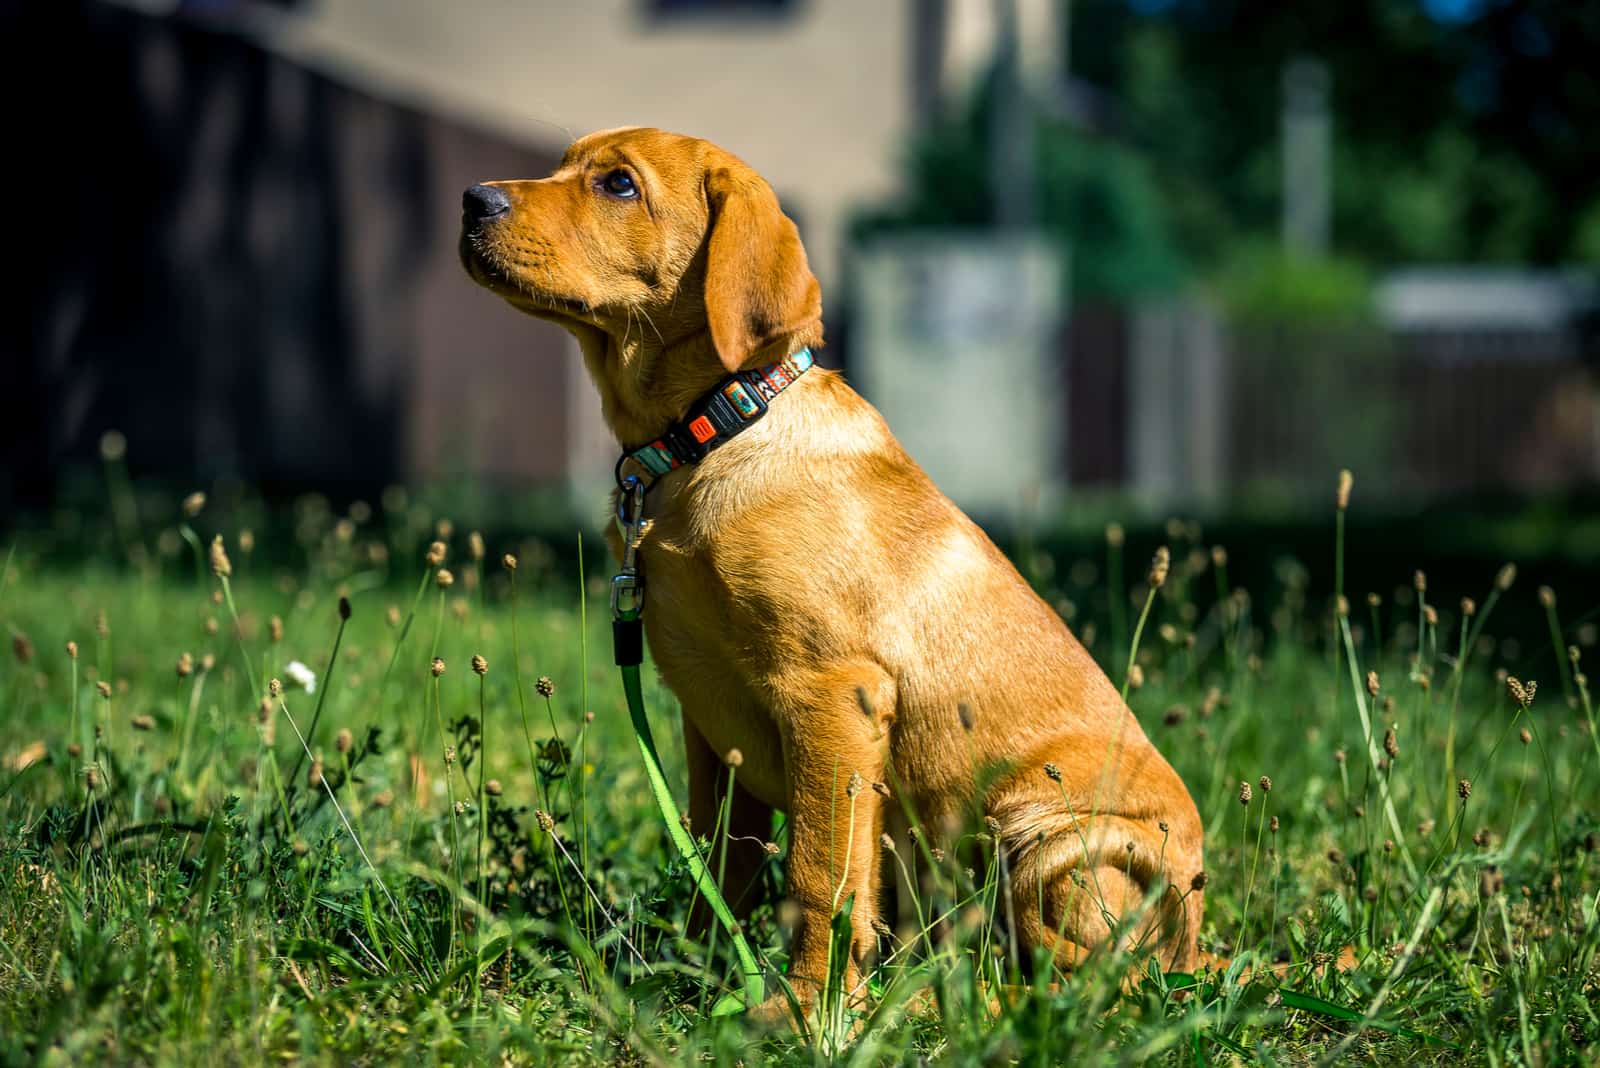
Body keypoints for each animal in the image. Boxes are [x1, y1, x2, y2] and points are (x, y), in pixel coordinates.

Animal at [460, 125, 1203, 1016]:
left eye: (617, 185)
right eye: (565, 164)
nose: (471, 200)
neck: (710, 433)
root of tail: (1206, 953)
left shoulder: (833, 695)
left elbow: (822, 874)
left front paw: (806, 1011)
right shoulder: (711, 724)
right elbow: (723, 860)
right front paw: (701, 978)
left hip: (1049, 836)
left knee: (1076, 981)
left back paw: (938, 1002)